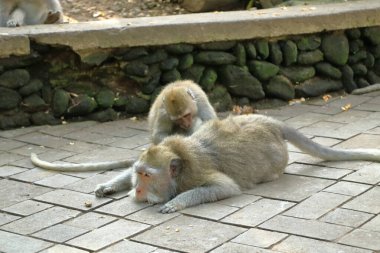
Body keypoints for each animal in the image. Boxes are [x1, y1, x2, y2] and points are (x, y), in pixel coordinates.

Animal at [29, 80, 217, 172]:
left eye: (186, 115)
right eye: (178, 119)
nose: (185, 123)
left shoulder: (200, 100)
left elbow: (209, 122)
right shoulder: (165, 113)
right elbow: (159, 135)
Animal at [30, 115, 380, 213]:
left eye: (148, 177)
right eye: (139, 175)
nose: (138, 191)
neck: (179, 162)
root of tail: (271, 122)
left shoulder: (196, 174)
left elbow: (224, 188)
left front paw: (177, 203)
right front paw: (109, 185)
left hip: (276, 157)